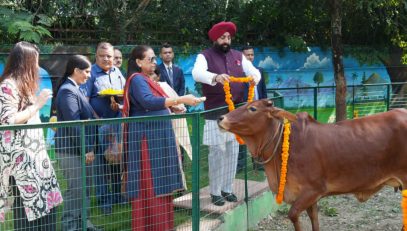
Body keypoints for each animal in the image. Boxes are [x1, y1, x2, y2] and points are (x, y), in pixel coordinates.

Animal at [218, 99, 406, 231]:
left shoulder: (313, 190)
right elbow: (314, 219)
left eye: (253, 109)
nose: (221, 118)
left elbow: (293, 215)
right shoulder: (310, 198)